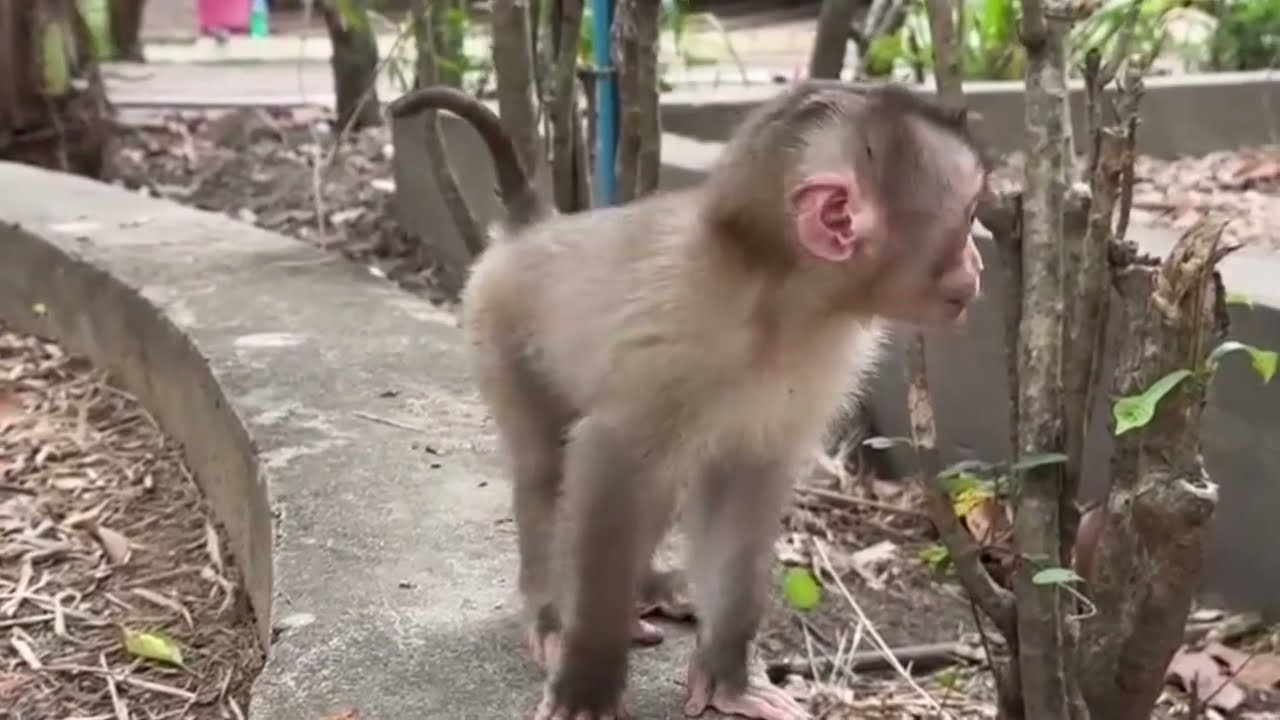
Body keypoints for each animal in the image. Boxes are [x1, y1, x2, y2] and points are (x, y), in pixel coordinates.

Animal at [388, 80, 989, 720]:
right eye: (969, 218)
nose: (978, 263)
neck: (784, 300)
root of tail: (537, 229)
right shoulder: (682, 329)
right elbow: (611, 454)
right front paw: (588, 681)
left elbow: (746, 481)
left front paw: (728, 677)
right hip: (497, 327)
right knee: (551, 465)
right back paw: (553, 615)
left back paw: (646, 590)